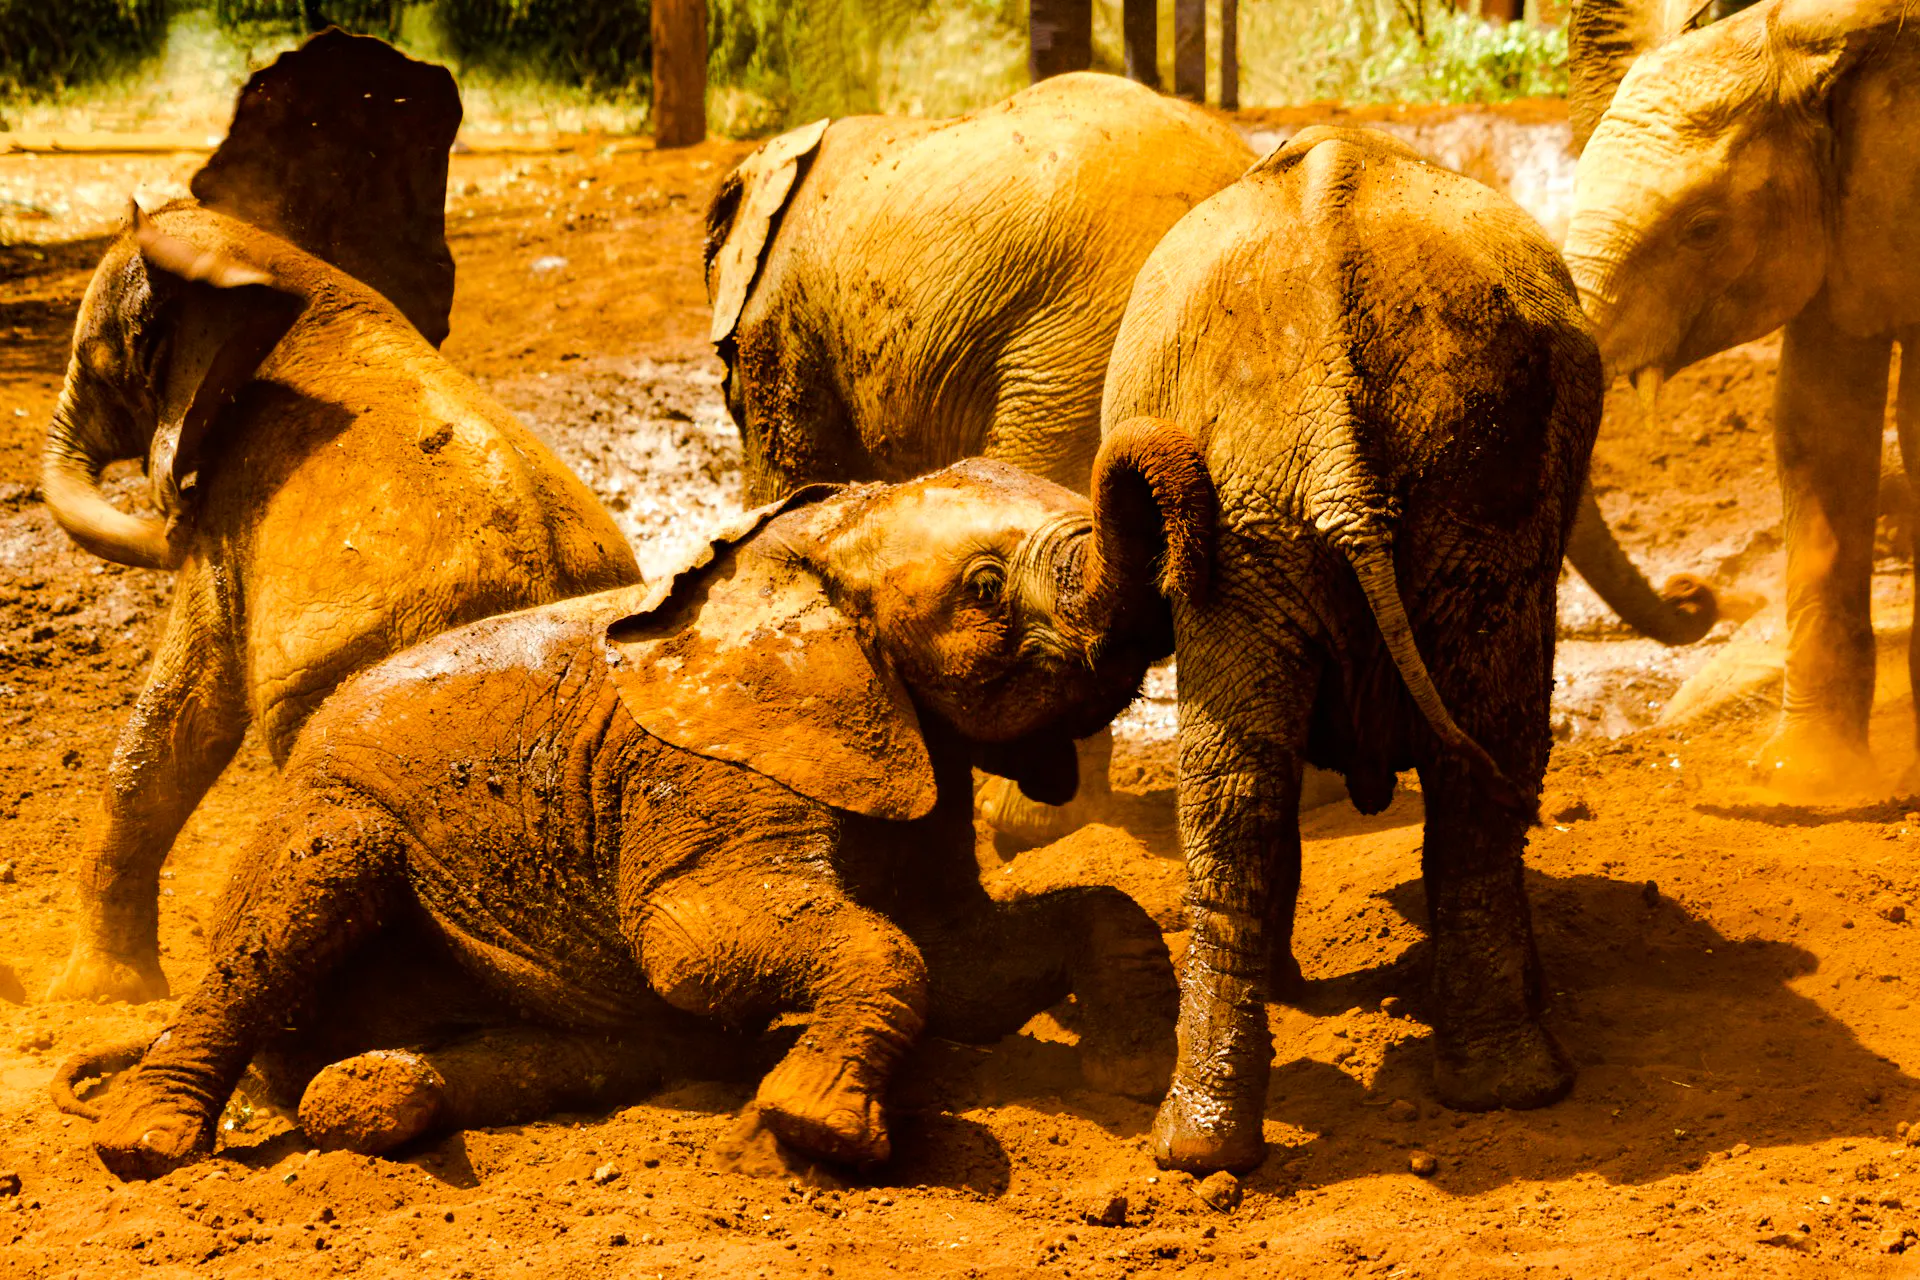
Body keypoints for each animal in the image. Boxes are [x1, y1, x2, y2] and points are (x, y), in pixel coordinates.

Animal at [39, 31, 640, 1006]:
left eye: (97, 362)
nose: (166, 512)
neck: (273, 266)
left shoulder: (231, 506)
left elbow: (184, 710)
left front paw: (95, 999)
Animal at [55, 429, 1212, 1182]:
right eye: (983, 587)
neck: (808, 547)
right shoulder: (702, 774)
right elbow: (700, 946)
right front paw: (819, 1134)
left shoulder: (903, 760)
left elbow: (969, 953)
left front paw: (1132, 1079)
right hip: (325, 813)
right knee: (300, 900)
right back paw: (147, 1143)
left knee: (579, 1055)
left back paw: (369, 1088)